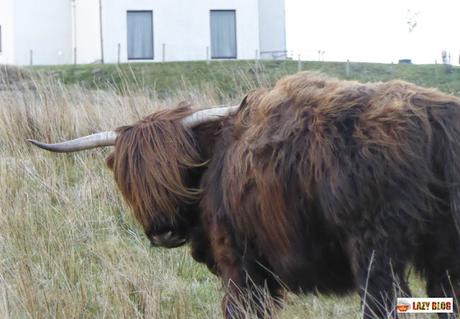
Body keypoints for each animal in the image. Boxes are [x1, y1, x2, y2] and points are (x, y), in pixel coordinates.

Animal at [28, 73, 460, 319]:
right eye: (132, 181)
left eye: (179, 169)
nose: (163, 233)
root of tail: (431, 115)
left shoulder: (240, 263)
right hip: (442, 256)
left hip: (375, 251)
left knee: (381, 303)